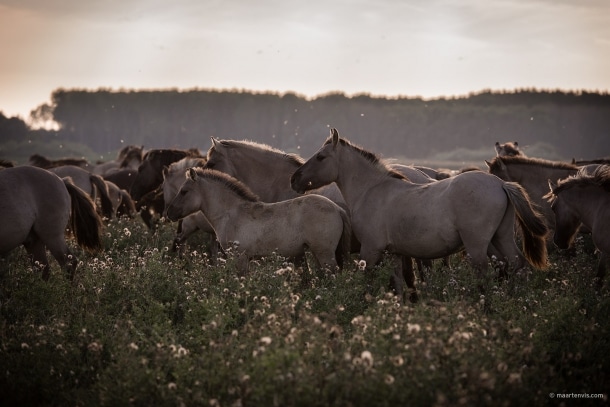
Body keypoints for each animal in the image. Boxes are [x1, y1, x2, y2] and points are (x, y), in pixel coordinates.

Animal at [165, 167, 352, 276]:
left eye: (184, 191)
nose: (169, 213)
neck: (231, 214)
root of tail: (337, 209)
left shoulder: (239, 258)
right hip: (317, 253)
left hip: (325, 254)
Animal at [290, 129, 548, 302]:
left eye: (321, 157)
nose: (294, 179)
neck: (372, 189)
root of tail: (500, 184)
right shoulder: (393, 253)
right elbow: (398, 284)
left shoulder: (370, 250)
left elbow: (368, 281)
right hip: (500, 238)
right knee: (517, 265)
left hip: (477, 245)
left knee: (486, 273)